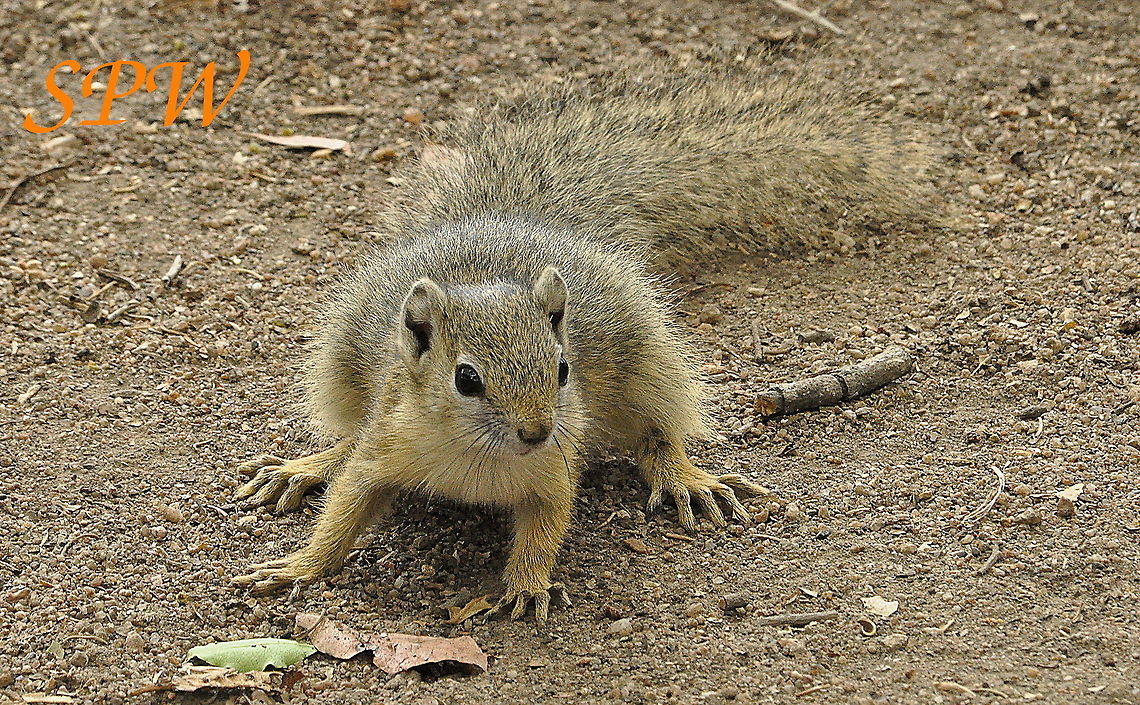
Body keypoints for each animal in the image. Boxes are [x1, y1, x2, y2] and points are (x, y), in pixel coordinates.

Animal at [232, 60, 934, 621]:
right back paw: (307, 466)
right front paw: (298, 566)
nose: (538, 431)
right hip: (348, 365)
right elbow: (344, 510)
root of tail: (517, 216)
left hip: (642, 358)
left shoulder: (554, 470)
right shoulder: (387, 446)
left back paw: (685, 477)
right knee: (347, 437)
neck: (477, 459)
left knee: (657, 428)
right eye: (465, 379)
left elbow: (546, 524)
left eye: (564, 369)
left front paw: (527, 582)